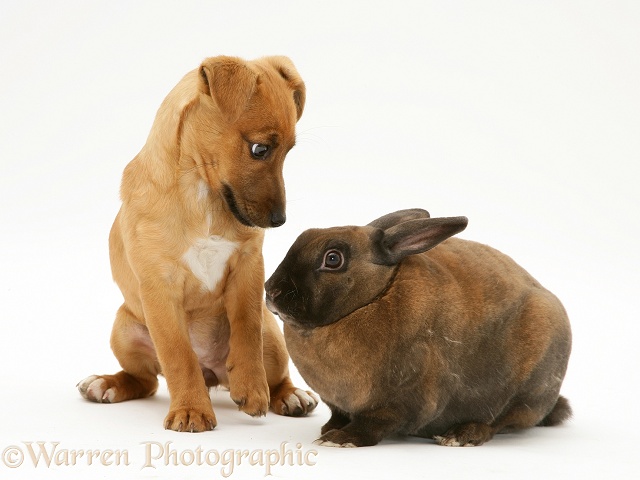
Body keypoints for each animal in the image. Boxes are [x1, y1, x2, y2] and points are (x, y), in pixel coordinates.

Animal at [79, 55, 318, 432]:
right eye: (260, 149)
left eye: (289, 152)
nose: (279, 220)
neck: (201, 193)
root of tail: (213, 374)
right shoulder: (159, 287)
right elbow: (178, 354)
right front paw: (191, 409)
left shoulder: (249, 266)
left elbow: (246, 328)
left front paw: (252, 387)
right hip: (124, 328)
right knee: (146, 381)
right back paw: (108, 383)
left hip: (273, 335)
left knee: (275, 370)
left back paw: (289, 394)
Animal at [262, 208, 572, 448]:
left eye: (333, 258)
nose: (271, 290)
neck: (372, 297)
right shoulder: (337, 404)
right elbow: (337, 415)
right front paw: (329, 430)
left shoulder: (403, 401)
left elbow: (374, 424)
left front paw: (339, 439)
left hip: (527, 392)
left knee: (501, 420)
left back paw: (461, 435)